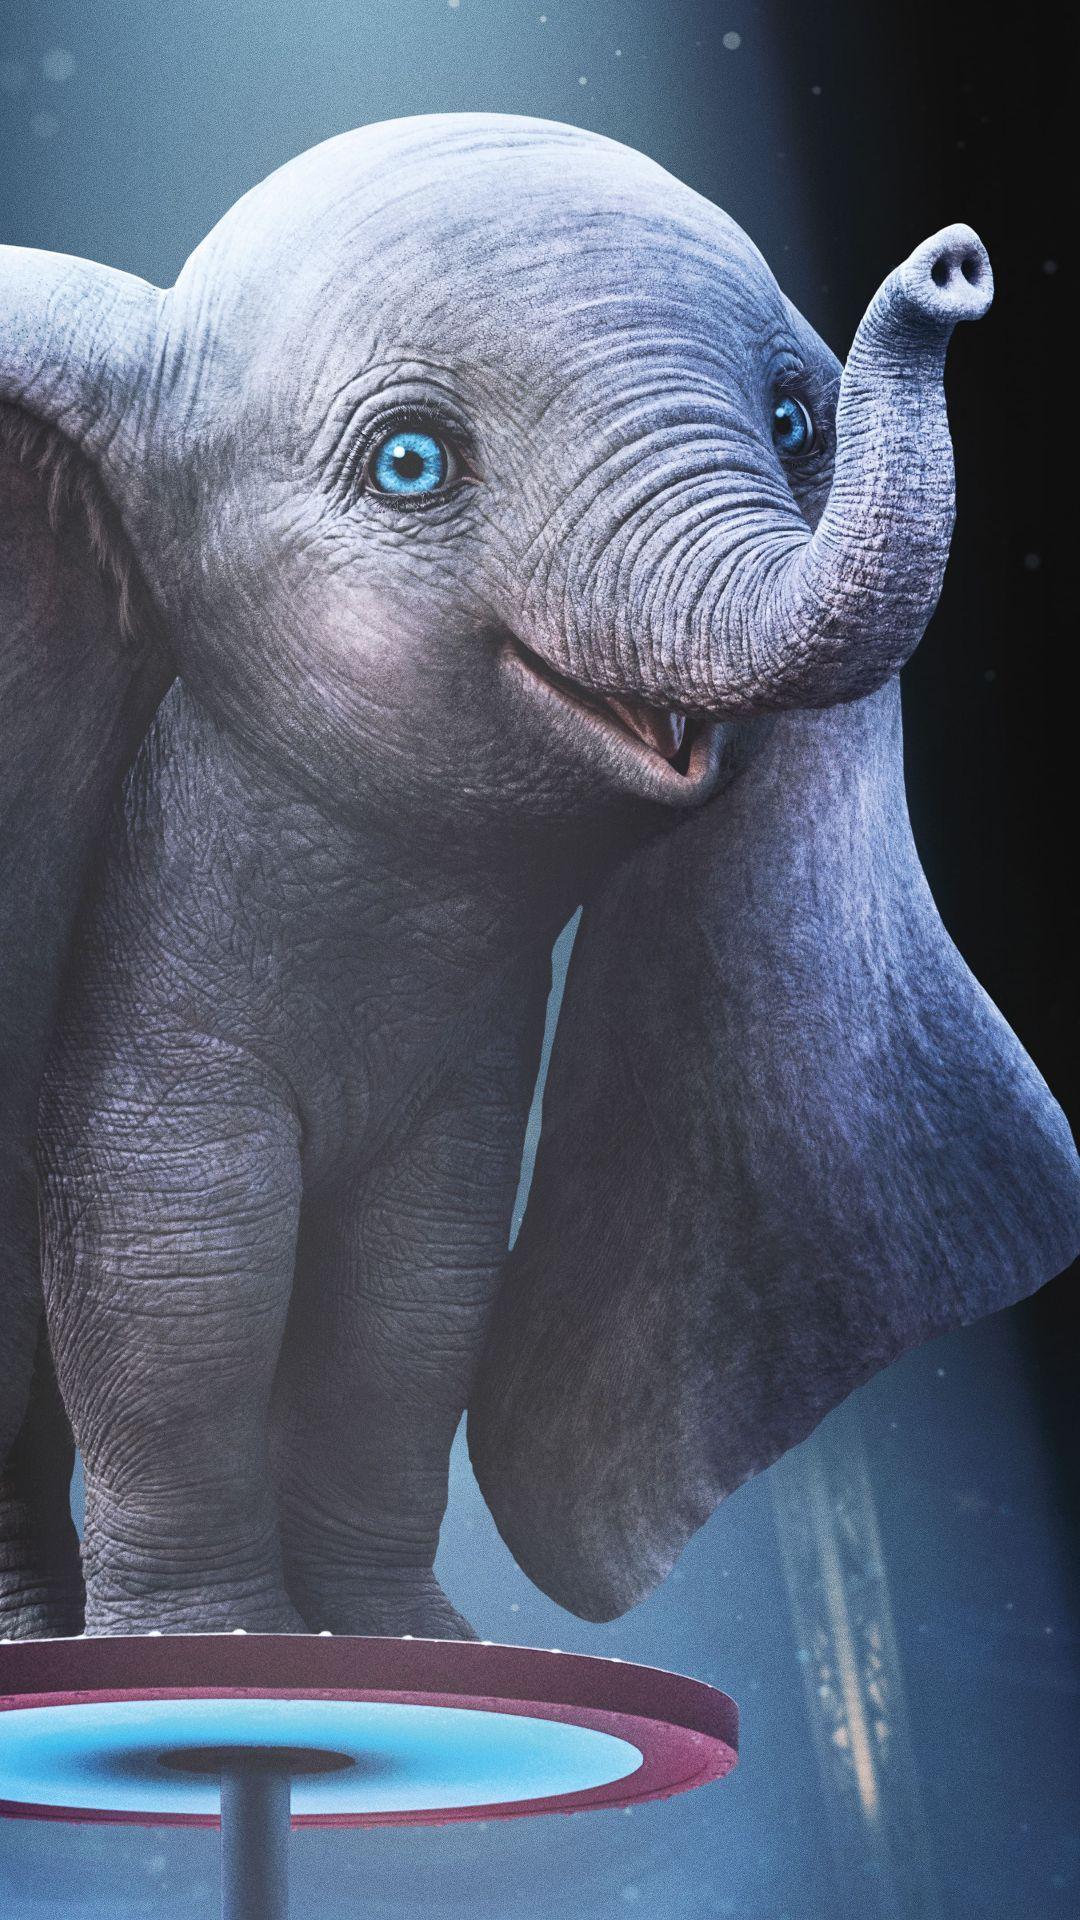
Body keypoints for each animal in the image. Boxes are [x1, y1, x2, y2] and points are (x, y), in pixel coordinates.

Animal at [0, 115, 1076, 1641]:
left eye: (794, 427)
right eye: (409, 464)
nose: (955, 265)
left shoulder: (465, 1077)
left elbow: (419, 1297)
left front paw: (405, 1646)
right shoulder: (146, 1002)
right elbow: (183, 1270)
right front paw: (222, 1654)